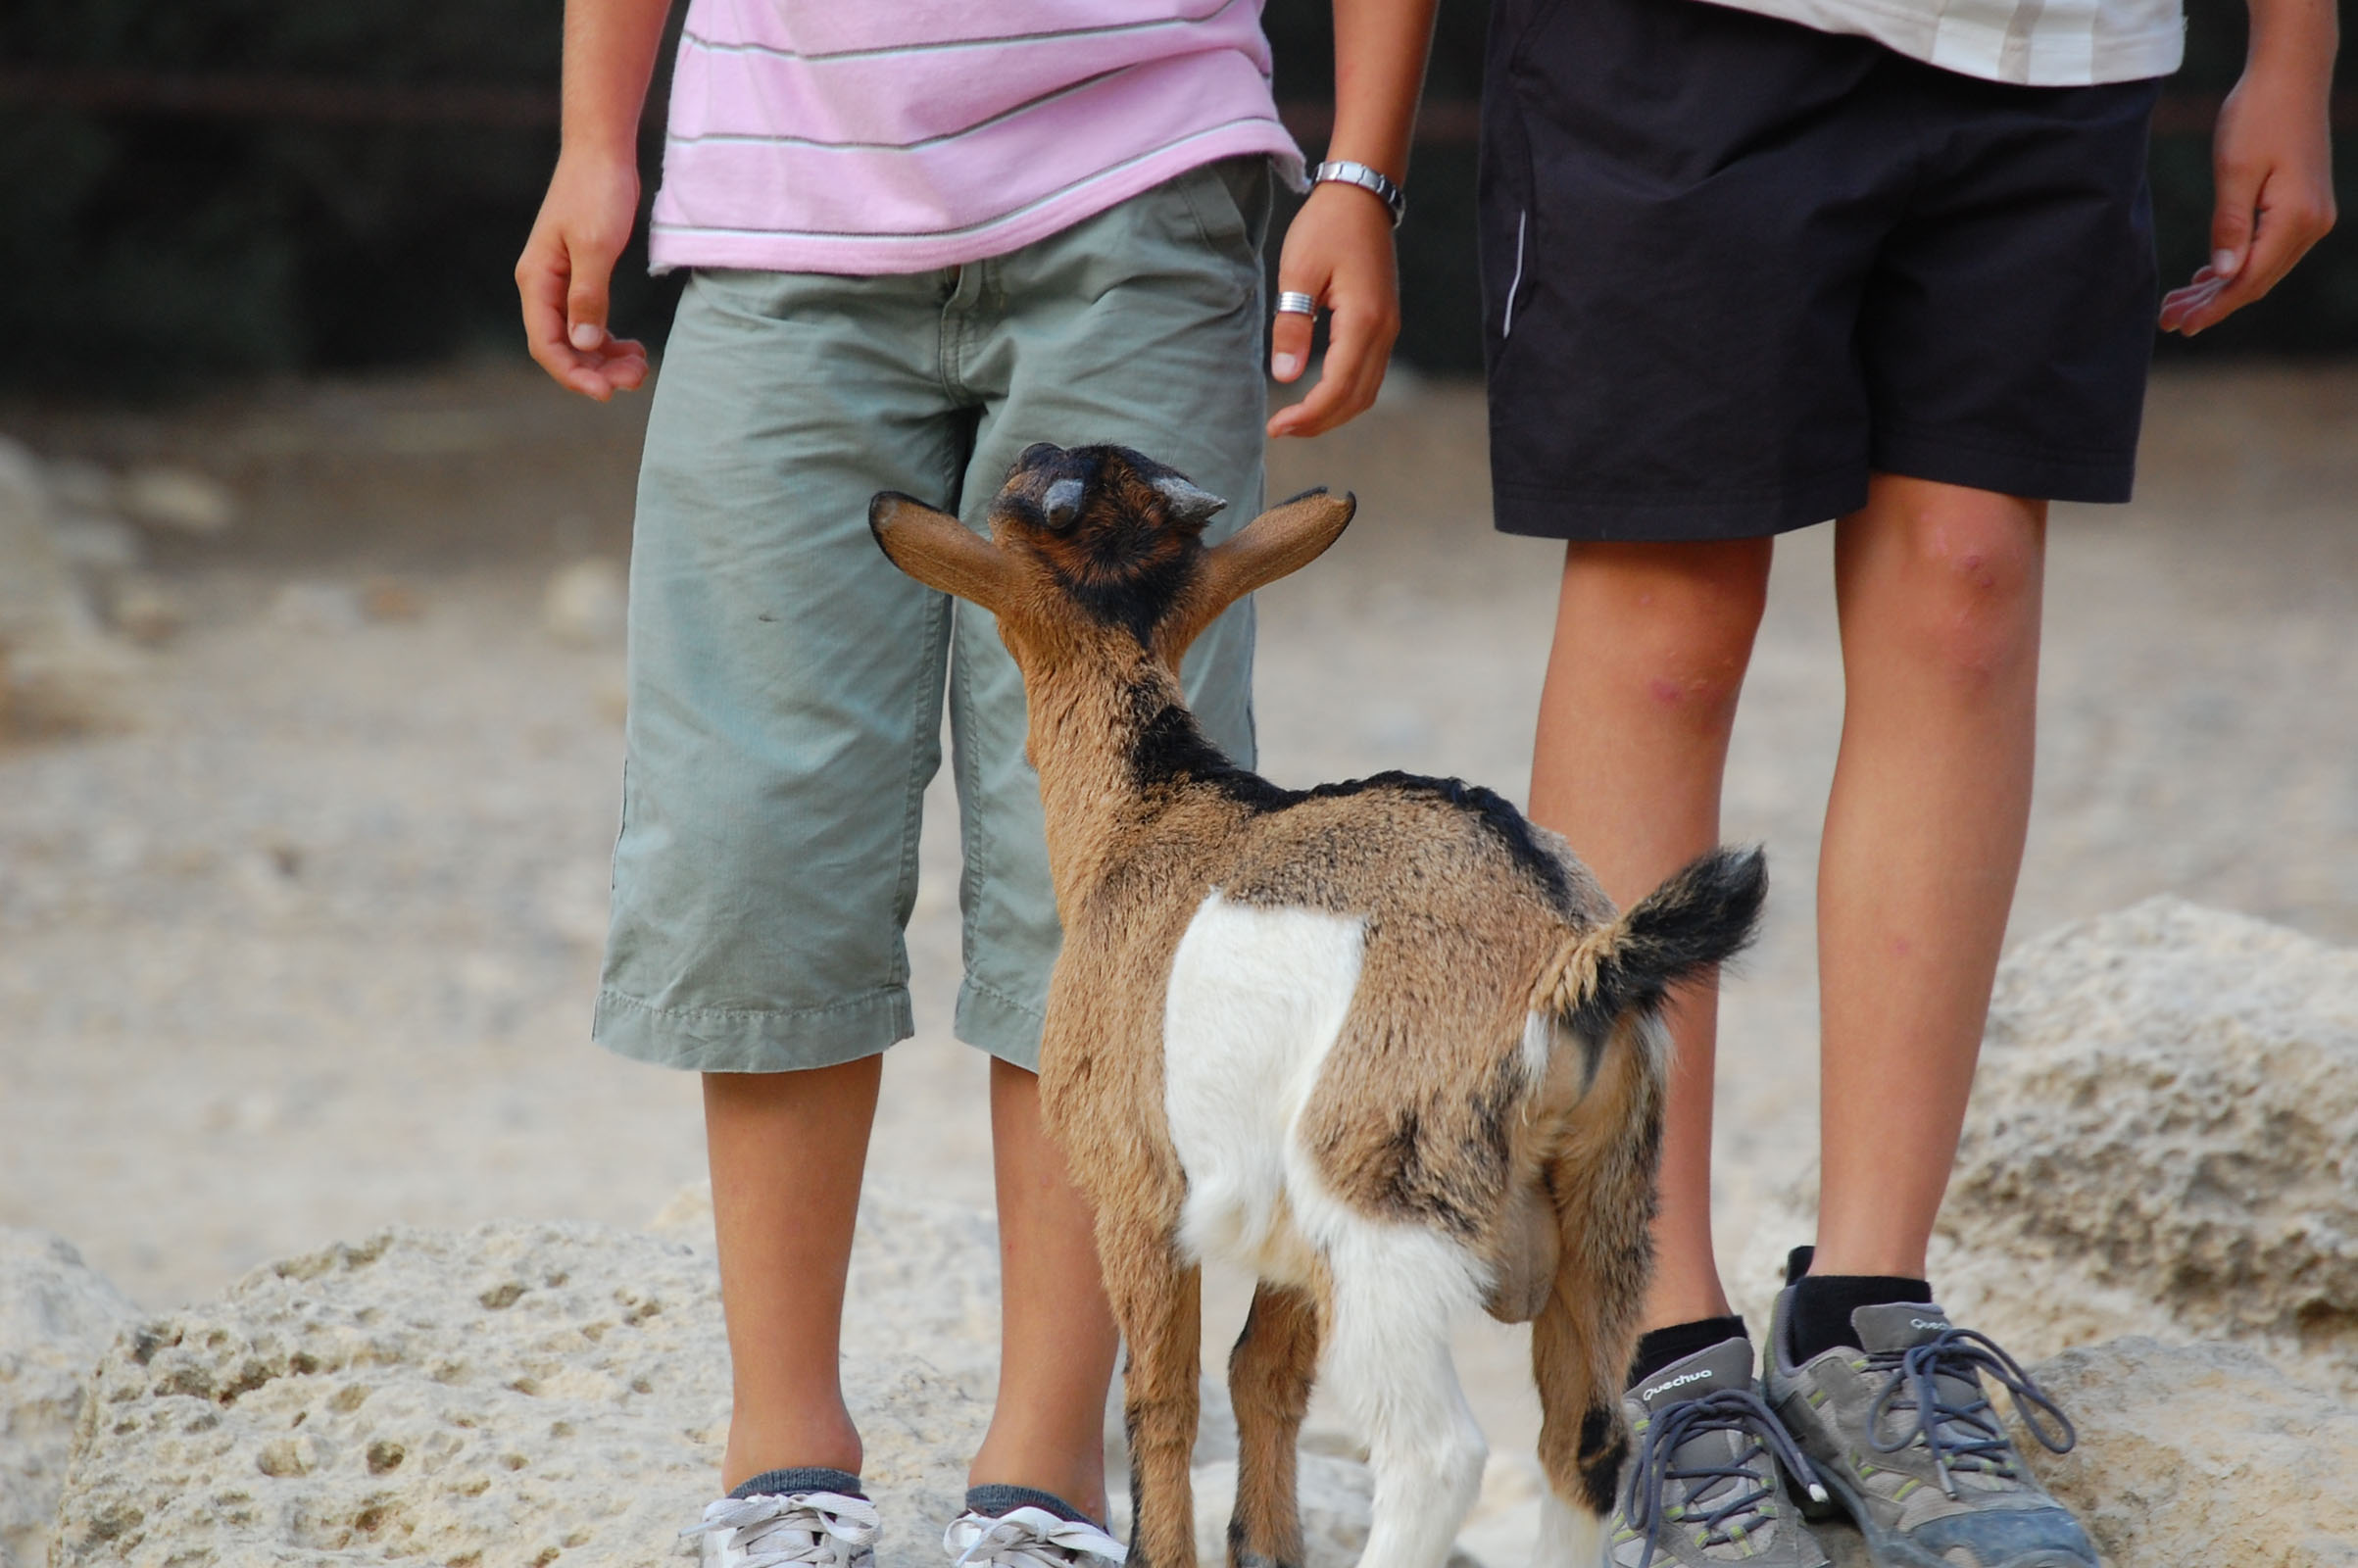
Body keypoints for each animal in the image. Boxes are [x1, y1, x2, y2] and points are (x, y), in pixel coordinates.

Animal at [877, 443, 1763, 1568]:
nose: (1025, 453)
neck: (1151, 810)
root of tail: (1569, 954)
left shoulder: (1135, 1188)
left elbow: (1162, 1400)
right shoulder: (1286, 1233)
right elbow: (1262, 1375)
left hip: (1385, 1193)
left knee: (1438, 1454)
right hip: (1609, 1202)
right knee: (1586, 1437)